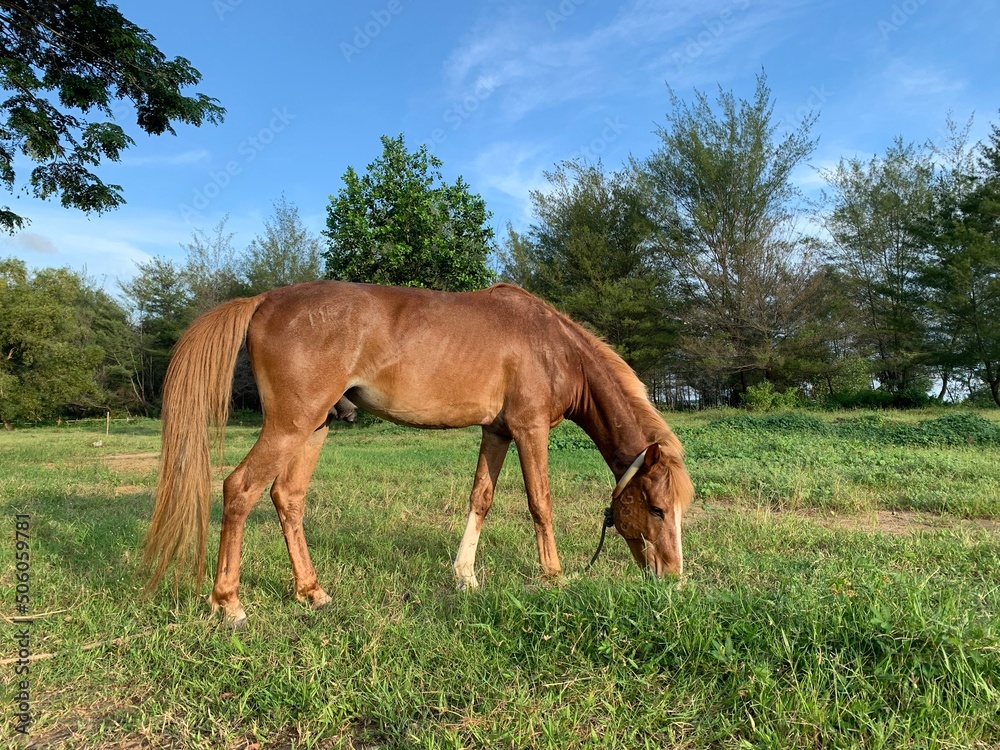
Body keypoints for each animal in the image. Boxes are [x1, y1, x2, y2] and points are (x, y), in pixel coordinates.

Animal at [143, 281, 693, 627]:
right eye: (656, 509)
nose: (672, 579)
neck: (554, 347)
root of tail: (265, 300)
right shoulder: (529, 429)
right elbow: (540, 503)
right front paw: (554, 578)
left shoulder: (496, 432)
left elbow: (481, 499)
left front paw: (465, 576)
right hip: (289, 425)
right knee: (239, 489)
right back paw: (229, 604)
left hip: (314, 427)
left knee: (287, 498)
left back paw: (311, 592)